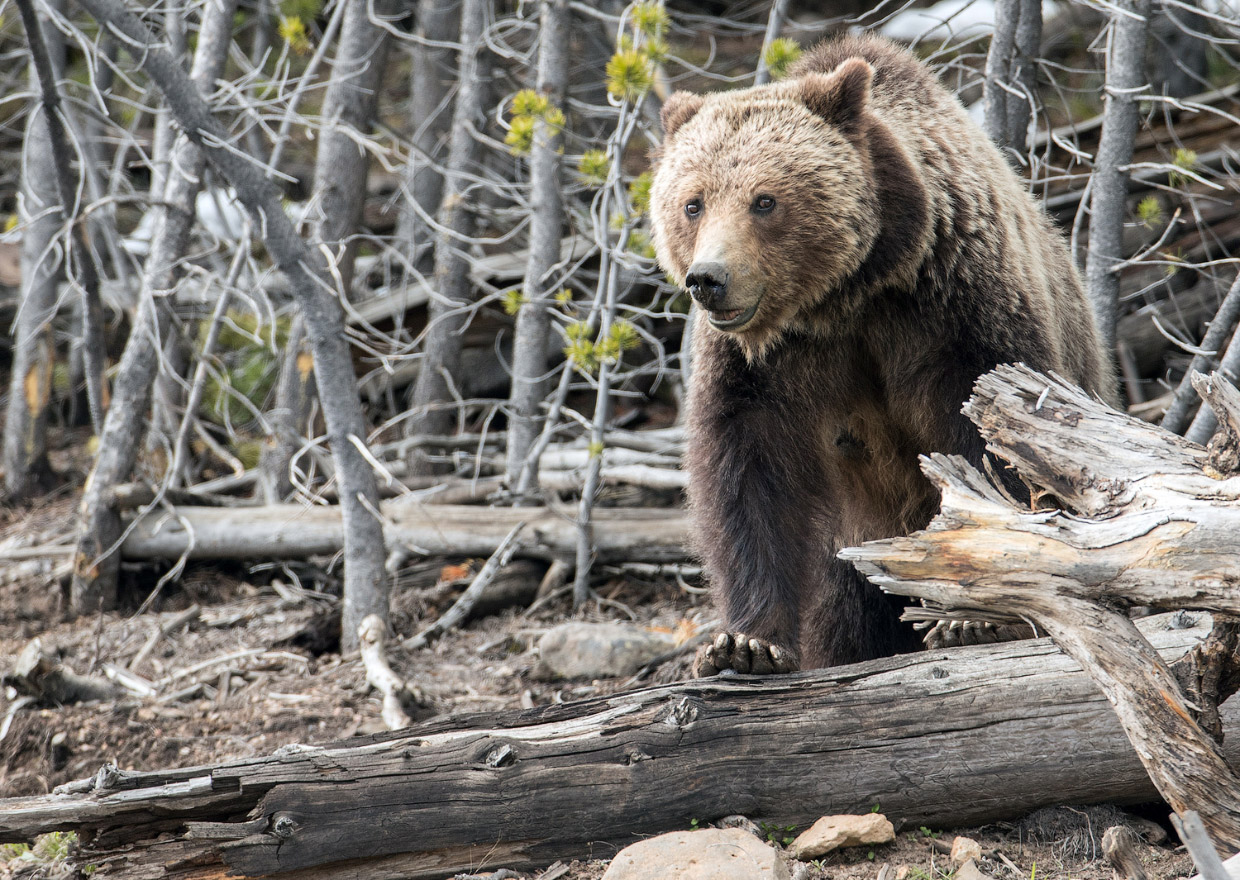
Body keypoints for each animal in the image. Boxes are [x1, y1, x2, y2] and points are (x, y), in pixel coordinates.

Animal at [649, 32, 1116, 674]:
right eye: (693, 203)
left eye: (764, 200)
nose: (709, 279)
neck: (846, 295)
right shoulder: (763, 364)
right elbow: (749, 474)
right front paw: (745, 644)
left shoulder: (952, 309)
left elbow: (993, 443)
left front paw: (973, 619)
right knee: (845, 612)